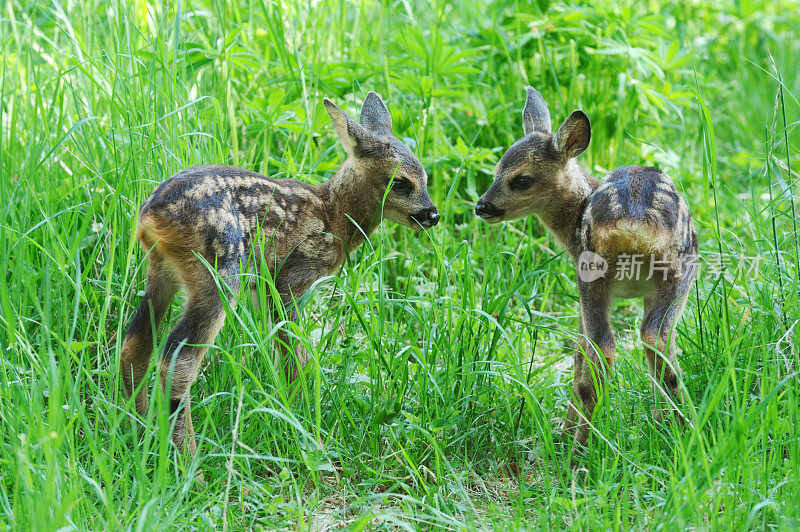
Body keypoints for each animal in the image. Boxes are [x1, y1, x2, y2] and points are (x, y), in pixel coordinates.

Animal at [119, 91, 438, 454]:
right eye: (399, 182)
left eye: (426, 177)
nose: (432, 215)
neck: (333, 216)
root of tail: (149, 217)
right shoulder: (291, 280)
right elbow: (296, 351)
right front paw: (300, 414)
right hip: (221, 272)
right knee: (179, 360)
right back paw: (189, 458)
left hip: (161, 270)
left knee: (135, 343)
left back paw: (139, 429)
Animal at [478, 86, 696, 448]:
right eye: (496, 169)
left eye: (521, 180)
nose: (482, 206)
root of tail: (634, 221)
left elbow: (579, 355)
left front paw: (565, 428)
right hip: (675, 273)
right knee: (655, 342)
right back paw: (680, 430)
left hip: (595, 273)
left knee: (599, 353)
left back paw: (578, 444)